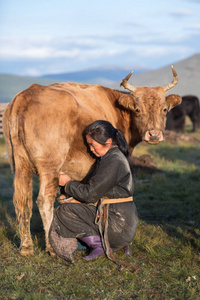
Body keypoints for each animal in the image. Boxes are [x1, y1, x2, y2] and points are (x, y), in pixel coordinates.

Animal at [2, 65, 181, 255]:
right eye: (138, 109)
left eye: (164, 109)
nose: (154, 134)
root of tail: (26, 94)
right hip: (49, 166)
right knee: (44, 200)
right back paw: (52, 247)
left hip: (20, 165)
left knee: (23, 200)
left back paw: (26, 247)